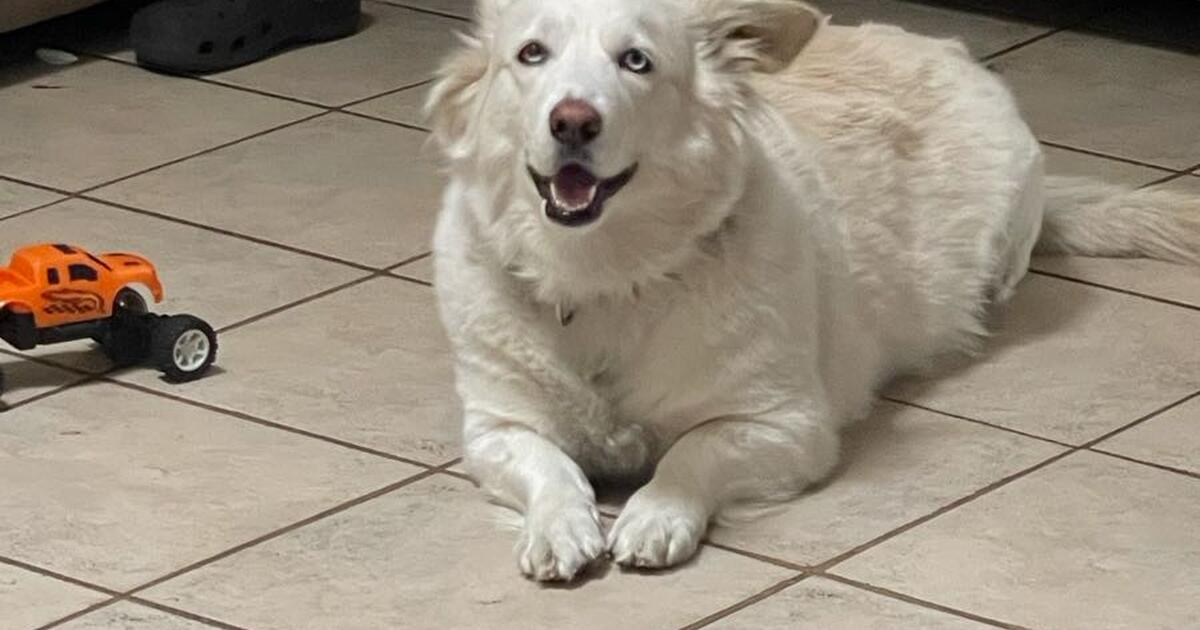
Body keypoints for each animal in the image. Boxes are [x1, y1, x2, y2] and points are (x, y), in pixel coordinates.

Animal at [424, 0, 1200, 581]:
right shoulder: (496, 429)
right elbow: (550, 466)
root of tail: (942, 46)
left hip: (1009, 227)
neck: (607, 274)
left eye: (636, 61)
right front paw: (559, 527)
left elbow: (691, 453)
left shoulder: (786, 425)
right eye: (531, 54)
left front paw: (655, 513)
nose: (573, 121)